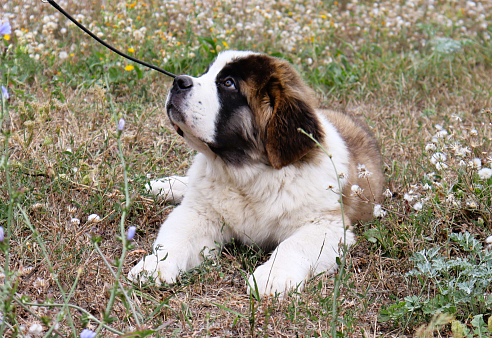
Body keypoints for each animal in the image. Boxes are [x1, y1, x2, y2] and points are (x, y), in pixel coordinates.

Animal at [128, 49, 384, 296]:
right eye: (206, 72)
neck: (247, 175)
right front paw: (156, 265)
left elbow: (292, 245)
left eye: (228, 83)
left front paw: (272, 276)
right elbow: (177, 236)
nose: (178, 81)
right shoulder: (200, 213)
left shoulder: (326, 225)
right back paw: (164, 186)